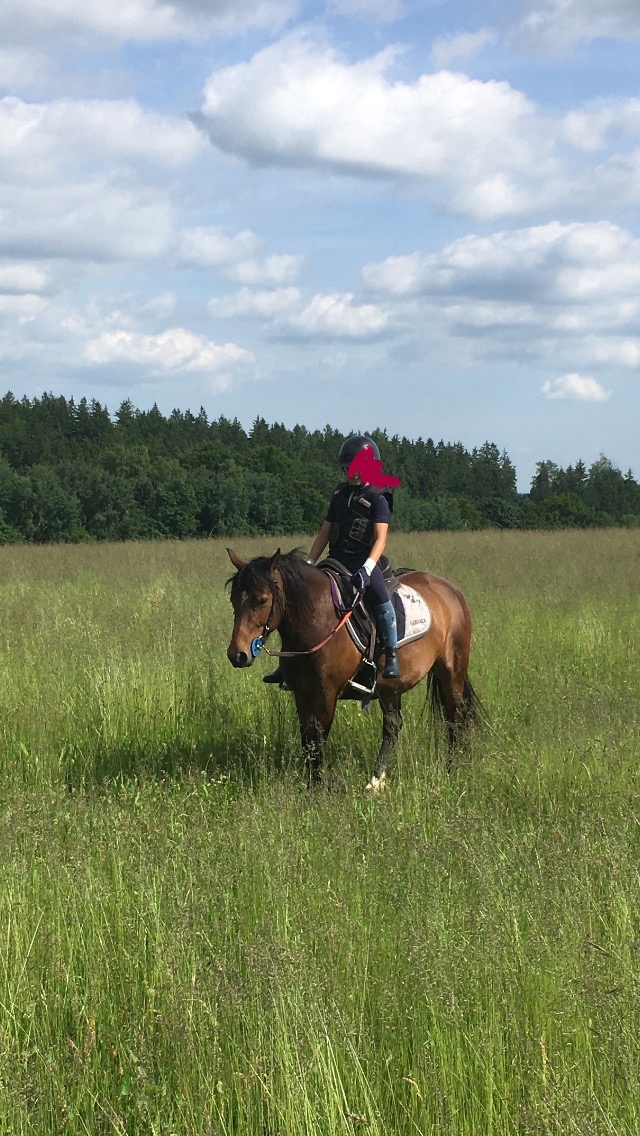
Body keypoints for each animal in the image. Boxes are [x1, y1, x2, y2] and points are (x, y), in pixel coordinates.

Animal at [226, 548, 479, 789]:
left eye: (262, 600)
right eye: (233, 600)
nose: (237, 654)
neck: (317, 621)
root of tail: (450, 589)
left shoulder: (326, 695)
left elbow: (317, 742)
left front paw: (320, 788)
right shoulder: (302, 694)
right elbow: (307, 744)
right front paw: (313, 786)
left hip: (452, 673)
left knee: (455, 718)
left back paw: (452, 768)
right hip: (391, 688)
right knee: (393, 726)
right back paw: (376, 780)